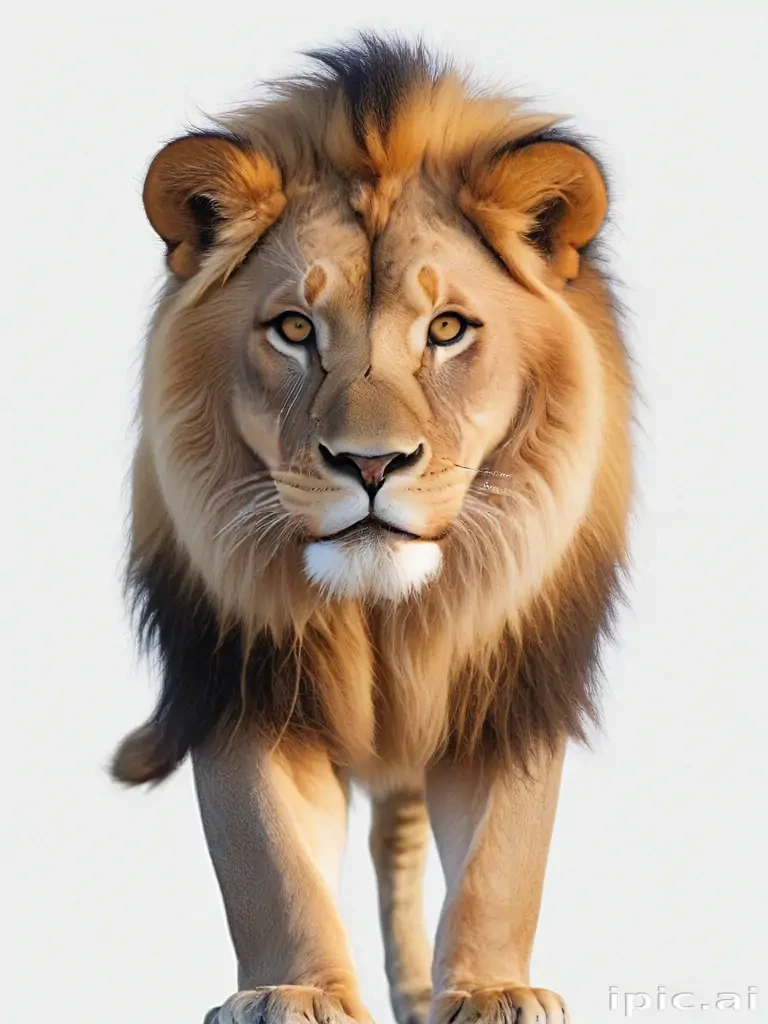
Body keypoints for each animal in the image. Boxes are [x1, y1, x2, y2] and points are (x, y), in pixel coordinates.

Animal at [111, 34, 632, 1024]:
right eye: (292, 328)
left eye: (448, 328)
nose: (371, 464)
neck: (385, 616)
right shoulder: (241, 678)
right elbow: (270, 864)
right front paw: (296, 992)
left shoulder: (515, 679)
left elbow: (503, 861)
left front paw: (492, 989)